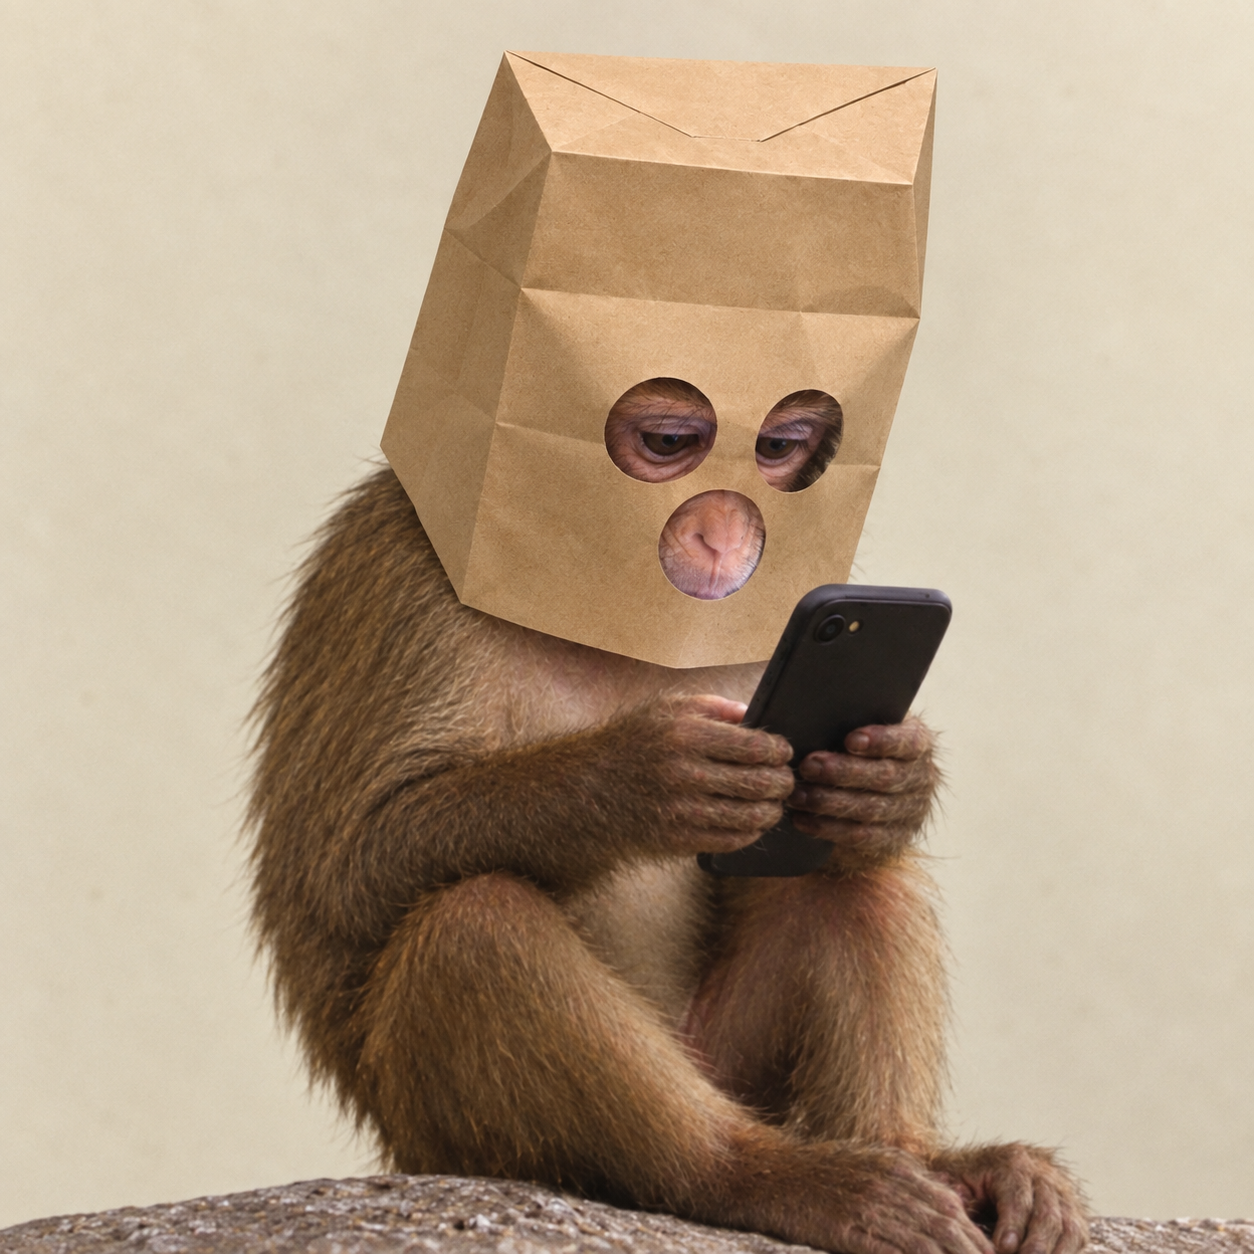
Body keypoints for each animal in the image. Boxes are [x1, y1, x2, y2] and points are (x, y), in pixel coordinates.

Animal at [247, 378, 1088, 1254]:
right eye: (668, 442)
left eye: (777, 448)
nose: (726, 532)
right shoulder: (399, 565)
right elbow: (348, 866)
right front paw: (642, 776)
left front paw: (891, 780)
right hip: (445, 1137)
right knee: (475, 924)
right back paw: (752, 1176)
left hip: (725, 1059)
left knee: (850, 874)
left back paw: (923, 1157)